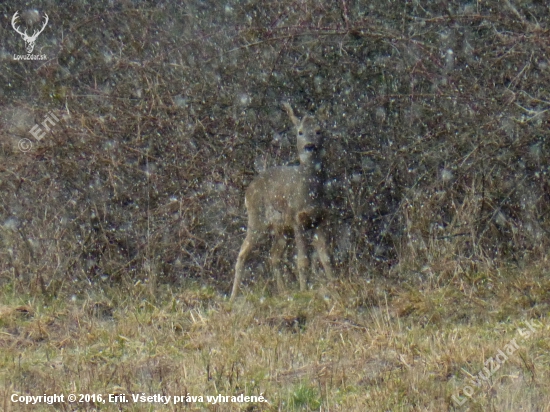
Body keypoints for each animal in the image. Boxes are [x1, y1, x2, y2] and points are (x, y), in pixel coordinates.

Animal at [231, 104, 334, 300]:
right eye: (300, 132)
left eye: (319, 131)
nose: (309, 146)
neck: (310, 194)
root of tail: (248, 190)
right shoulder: (296, 219)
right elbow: (302, 260)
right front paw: (303, 291)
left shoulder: (321, 219)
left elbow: (325, 257)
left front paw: (335, 283)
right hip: (257, 220)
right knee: (242, 252)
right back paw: (233, 297)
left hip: (280, 229)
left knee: (273, 255)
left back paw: (283, 291)